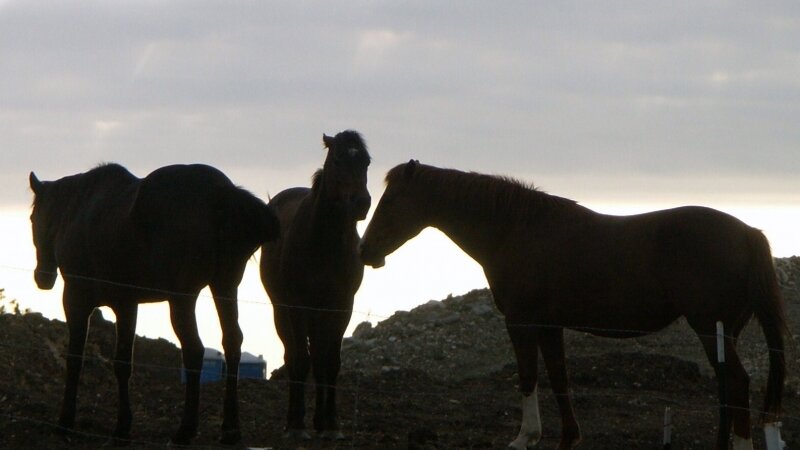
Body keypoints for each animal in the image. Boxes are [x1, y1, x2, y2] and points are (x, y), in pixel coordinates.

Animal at [29, 163, 280, 446]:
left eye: (32, 219)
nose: (42, 277)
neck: (80, 210)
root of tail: (223, 194)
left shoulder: (76, 300)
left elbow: (75, 359)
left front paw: (66, 421)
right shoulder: (127, 304)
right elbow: (122, 364)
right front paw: (122, 427)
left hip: (183, 299)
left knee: (194, 350)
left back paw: (185, 430)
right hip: (224, 287)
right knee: (232, 342)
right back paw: (230, 429)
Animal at [260, 130, 371, 439]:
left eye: (366, 162)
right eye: (338, 159)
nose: (362, 203)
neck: (324, 243)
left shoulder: (341, 307)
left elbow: (329, 363)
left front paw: (330, 423)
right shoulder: (298, 307)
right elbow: (301, 360)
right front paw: (298, 424)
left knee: (319, 359)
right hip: (282, 311)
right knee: (293, 356)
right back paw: (293, 420)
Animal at [359, 160, 787, 450]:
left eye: (392, 200)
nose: (365, 251)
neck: (515, 230)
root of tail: (749, 234)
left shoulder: (522, 322)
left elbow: (528, 376)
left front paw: (525, 437)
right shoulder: (550, 326)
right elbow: (559, 379)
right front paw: (567, 438)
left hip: (710, 329)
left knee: (737, 384)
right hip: (723, 332)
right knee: (728, 389)